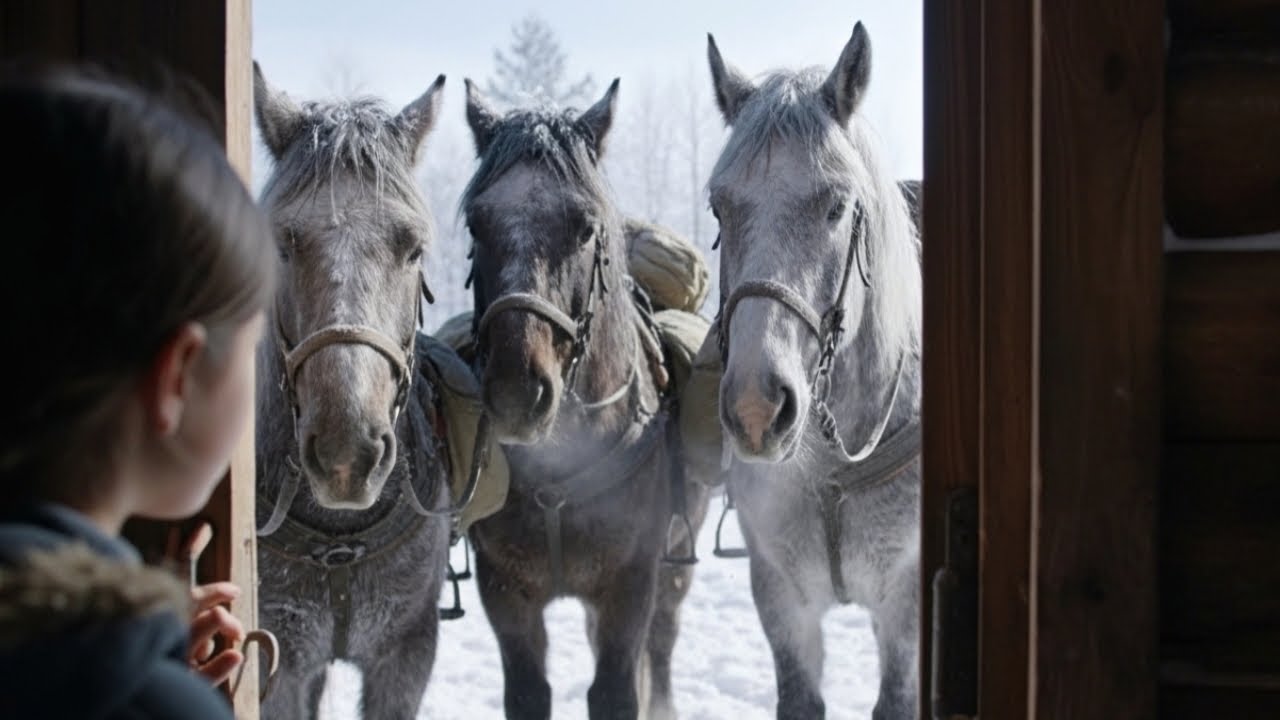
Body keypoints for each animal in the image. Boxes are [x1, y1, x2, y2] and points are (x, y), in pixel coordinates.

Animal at [460, 78, 711, 720]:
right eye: (476, 225)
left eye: (584, 226)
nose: (517, 390)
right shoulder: (505, 591)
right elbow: (529, 692)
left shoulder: (630, 581)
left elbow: (617, 690)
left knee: (663, 639)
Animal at [705, 23, 923, 720]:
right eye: (719, 208)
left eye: (836, 207)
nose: (756, 407)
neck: (831, 469)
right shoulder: (781, 596)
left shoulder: (905, 599)